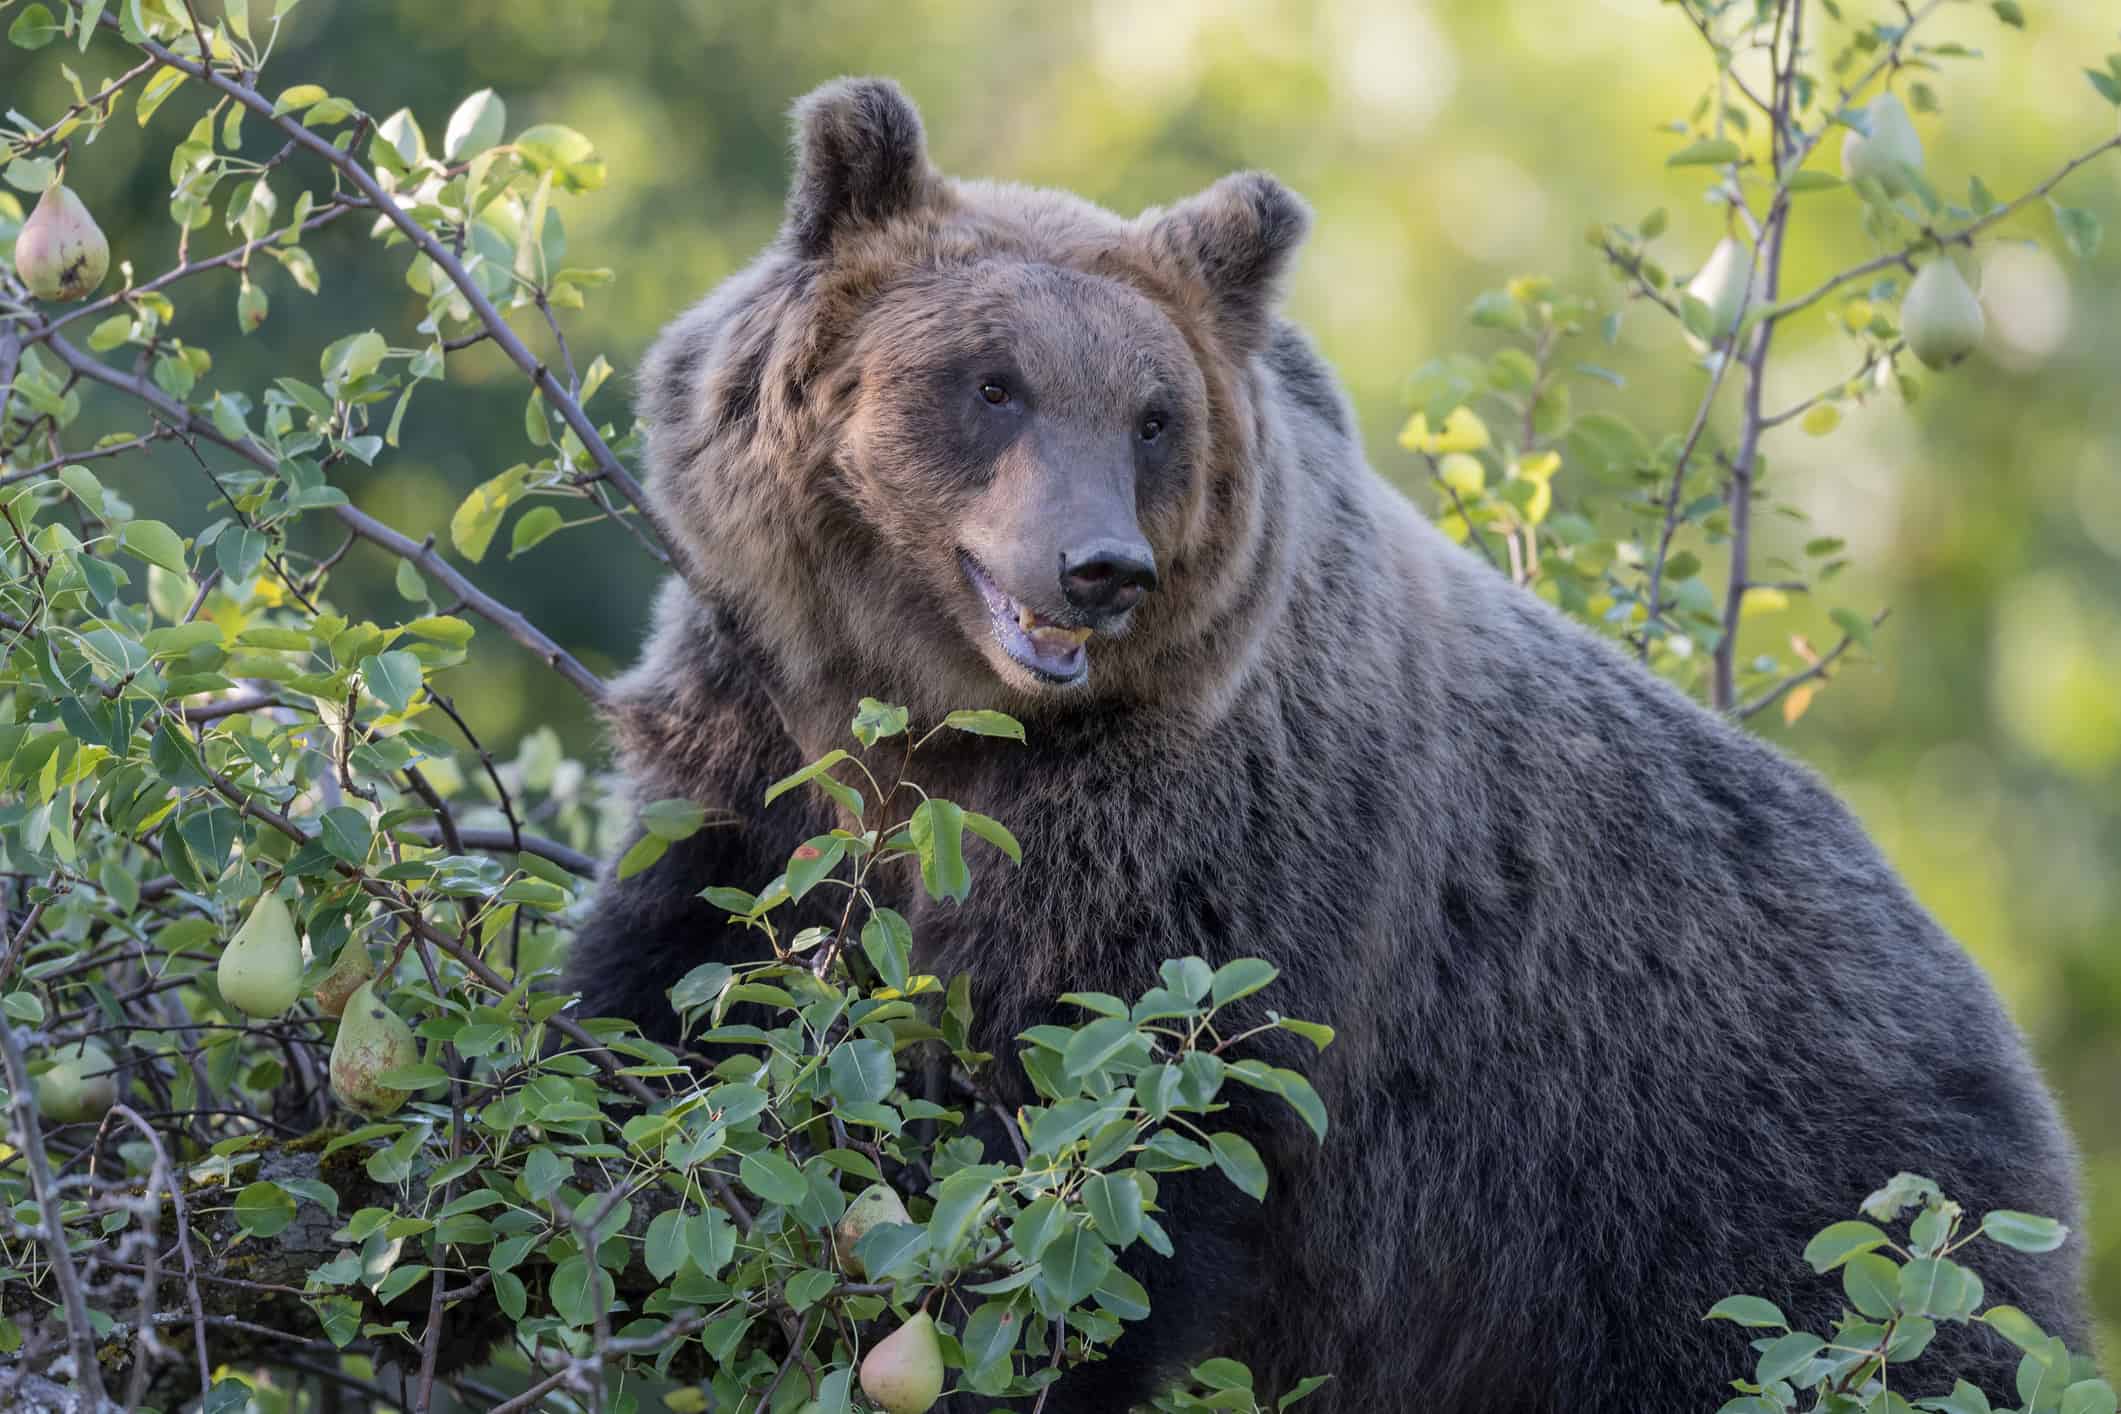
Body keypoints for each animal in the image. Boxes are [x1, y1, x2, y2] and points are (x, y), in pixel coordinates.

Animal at [567, 77, 2087, 1412]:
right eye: (990, 382)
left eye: (1152, 417)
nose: (1098, 568)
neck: (947, 725)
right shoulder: (754, 735)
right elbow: (665, 986)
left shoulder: (1206, 855)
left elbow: (1113, 1148)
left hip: (1752, 1200)